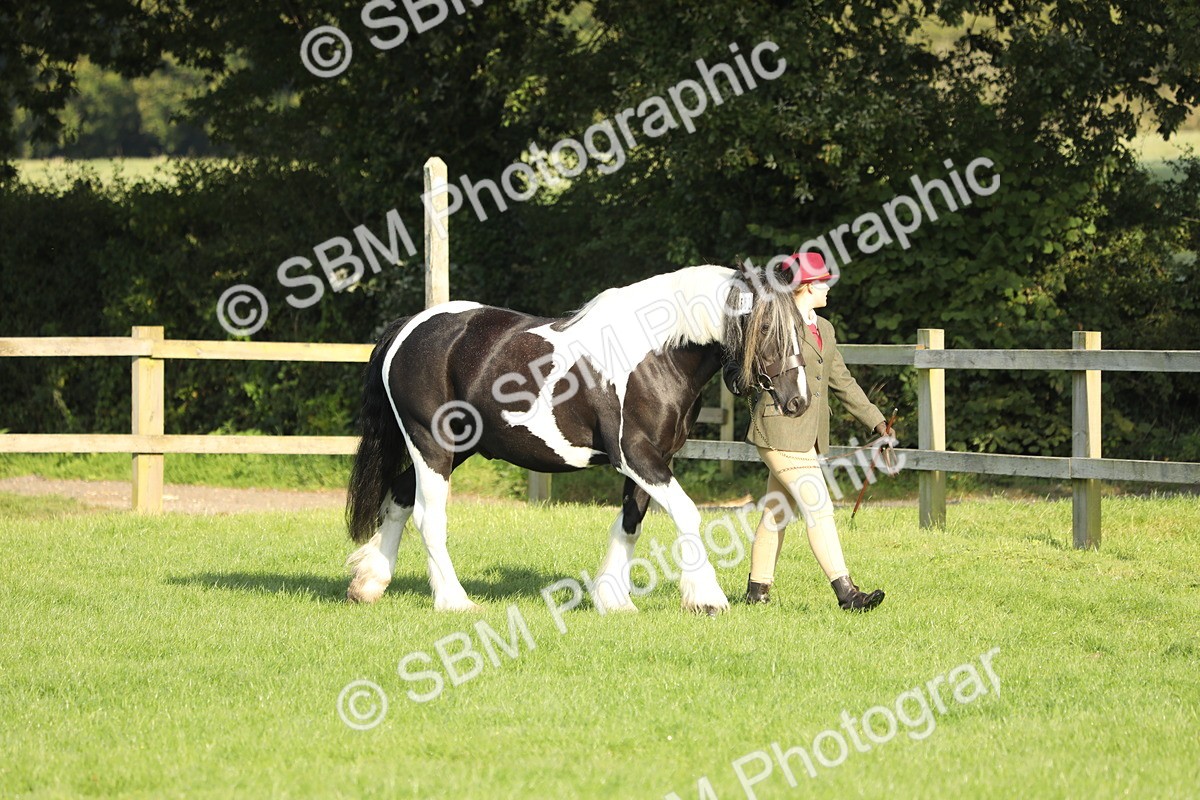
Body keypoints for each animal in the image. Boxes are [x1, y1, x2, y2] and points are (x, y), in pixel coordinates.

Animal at [344, 261, 810, 615]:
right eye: (765, 329)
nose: (798, 401)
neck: (656, 353)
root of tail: (410, 327)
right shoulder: (636, 455)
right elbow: (686, 513)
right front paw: (706, 599)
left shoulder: (657, 458)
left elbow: (630, 523)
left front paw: (614, 600)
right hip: (432, 445)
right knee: (428, 516)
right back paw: (454, 600)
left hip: (456, 448)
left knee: (399, 498)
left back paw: (369, 582)